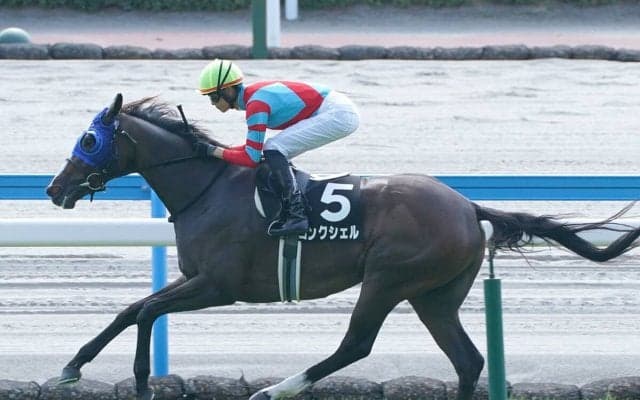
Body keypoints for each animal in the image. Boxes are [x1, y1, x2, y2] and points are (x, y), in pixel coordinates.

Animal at [46, 94, 640, 400]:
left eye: (89, 139)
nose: (55, 188)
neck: (207, 187)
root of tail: (469, 206)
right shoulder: (194, 278)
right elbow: (129, 309)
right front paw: (72, 366)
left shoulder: (219, 286)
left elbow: (146, 312)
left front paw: (142, 382)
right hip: (435, 295)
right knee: (468, 360)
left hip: (389, 279)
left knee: (357, 345)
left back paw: (277, 390)